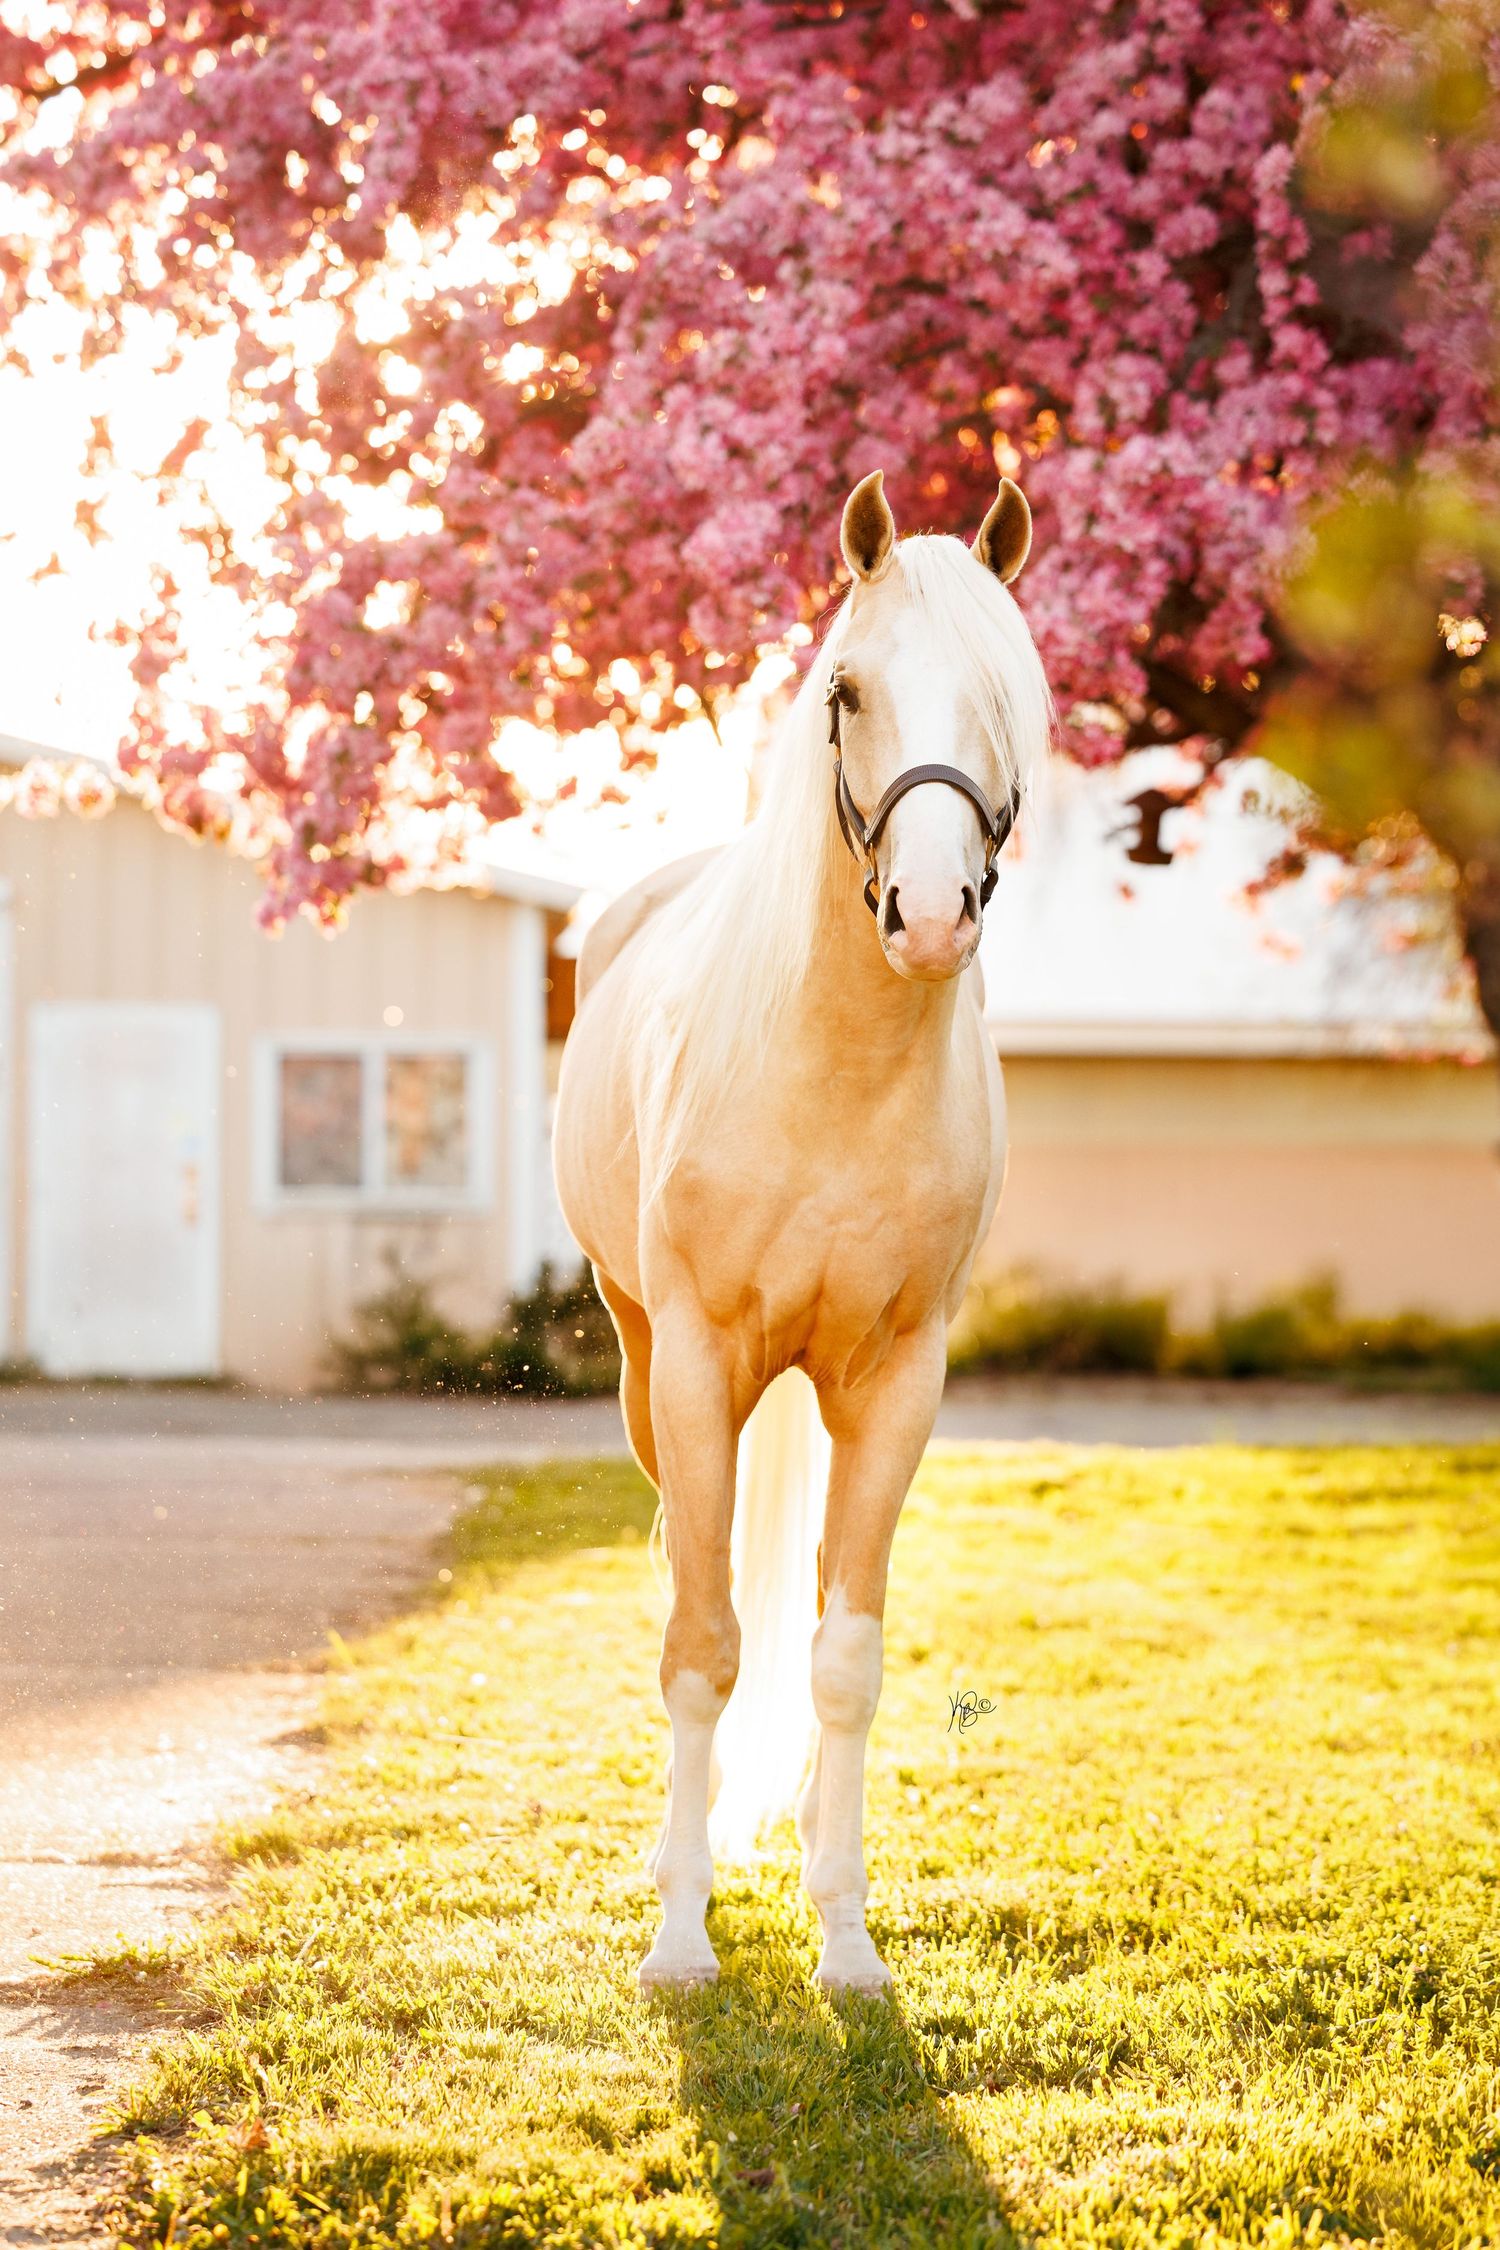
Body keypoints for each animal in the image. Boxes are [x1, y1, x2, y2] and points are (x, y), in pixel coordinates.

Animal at [553, 469, 1051, 1994]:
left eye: (1010, 691)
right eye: (848, 690)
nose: (932, 915)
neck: (835, 1065)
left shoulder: (895, 1387)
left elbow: (841, 1657)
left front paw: (844, 1939)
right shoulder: (699, 1365)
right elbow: (703, 1646)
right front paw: (679, 1939)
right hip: (644, 1362)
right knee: (686, 1580)